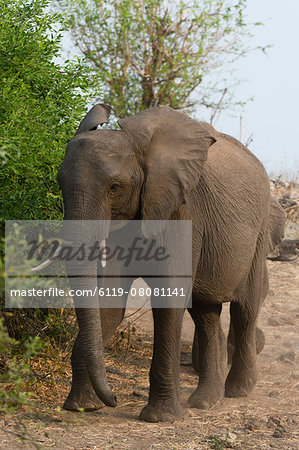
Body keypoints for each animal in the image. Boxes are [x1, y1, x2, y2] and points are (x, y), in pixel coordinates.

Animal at [58, 104, 286, 422]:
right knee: (205, 312)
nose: (114, 399)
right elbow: (110, 300)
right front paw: (81, 406)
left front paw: (159, 418)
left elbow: (169, 297)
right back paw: (206, 401)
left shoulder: (182, 210)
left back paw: (239, 391)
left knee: (245, 309)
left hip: (259, 235)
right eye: (59, 183)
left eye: (114, 187)